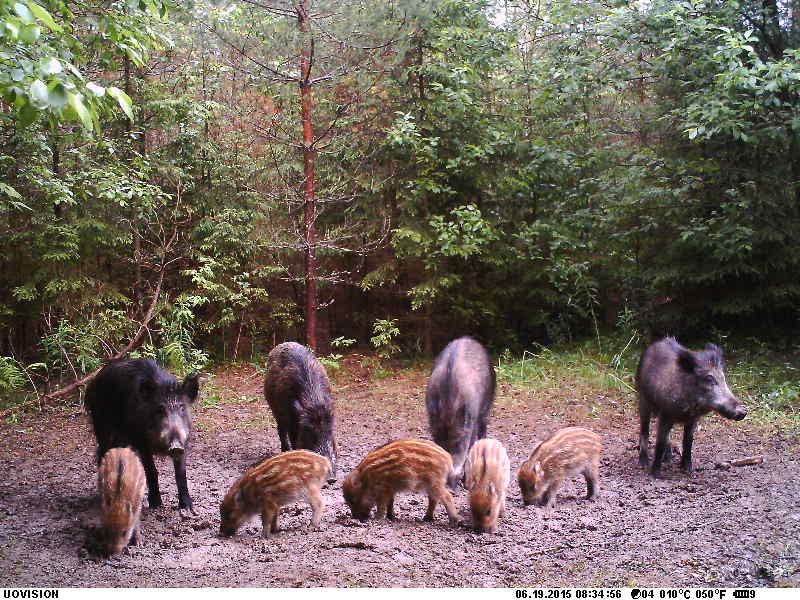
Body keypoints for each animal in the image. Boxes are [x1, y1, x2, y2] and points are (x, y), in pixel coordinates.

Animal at [85, 358, 199, 514]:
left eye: (182, 407)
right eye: (160, 409)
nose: (175, 446)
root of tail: (94, 381)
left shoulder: (184, 444)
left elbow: (181, 474)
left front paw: (187, 508)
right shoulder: (141, 441)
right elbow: (151, 471)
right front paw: (156, 505)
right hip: (103, 427)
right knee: (102, 454)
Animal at [264, 342, 337, 482]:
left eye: (330, 432)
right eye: (309, 433)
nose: (331, 479)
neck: (314, 402)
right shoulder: (291, 420)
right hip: (276, 410)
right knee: (281, 430)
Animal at [637, 337, 747, 476]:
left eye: (723, 378)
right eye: (709, 379)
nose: (742, 411)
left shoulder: (693, 419)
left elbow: (688, 442)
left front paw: (688, 470)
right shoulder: (665, 413)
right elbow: (659, 441)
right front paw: (655, 474)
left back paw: (668, 459)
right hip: (643, 400)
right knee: (644, 430)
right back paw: (643, 463)